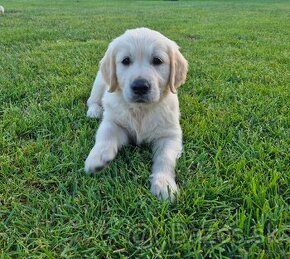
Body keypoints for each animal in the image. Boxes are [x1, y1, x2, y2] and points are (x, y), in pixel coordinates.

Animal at [84, 27, 188, 201]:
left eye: (157, 60)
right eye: (126, 61)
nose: (140, 86)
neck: (141, 110)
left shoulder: (170, 134)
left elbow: (165, 157)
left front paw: (164, 184)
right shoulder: (113, 121)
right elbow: (105, 137)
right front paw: (97, 158)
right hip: (99, 84)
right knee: (91, 100)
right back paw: (94, 111)